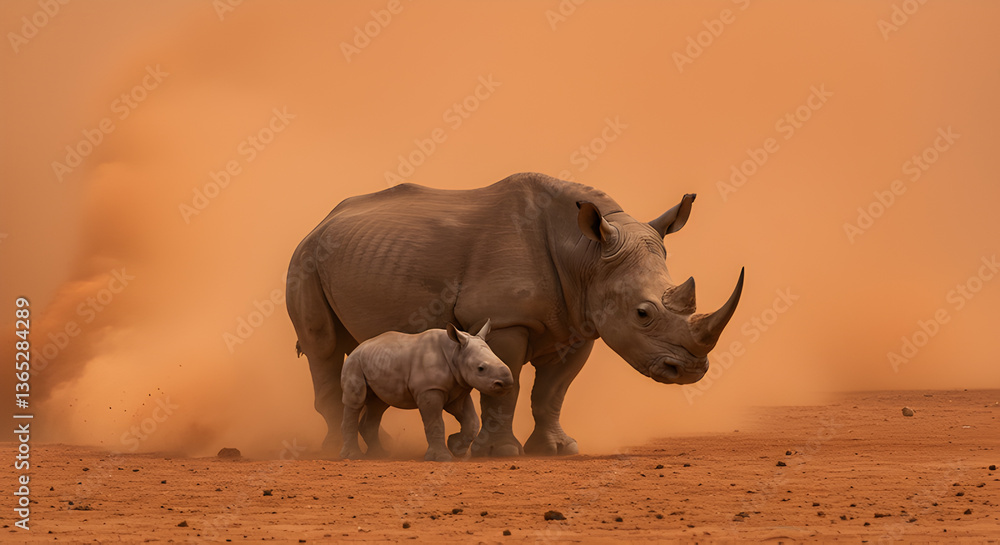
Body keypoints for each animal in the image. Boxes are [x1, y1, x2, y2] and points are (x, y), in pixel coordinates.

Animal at [340, 320, 513, 461]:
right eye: (481, 368)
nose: (506, 383)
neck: (455, 352)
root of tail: (358, 347)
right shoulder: (429, 390)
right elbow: (436, 423)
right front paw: (441, 458)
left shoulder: (459, 390)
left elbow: (472, 421)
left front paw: (455, 447)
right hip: (354, 362)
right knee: (356, 401)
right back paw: (353, 457)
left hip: (376, 363)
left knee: (378, 405)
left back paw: (379, 455)